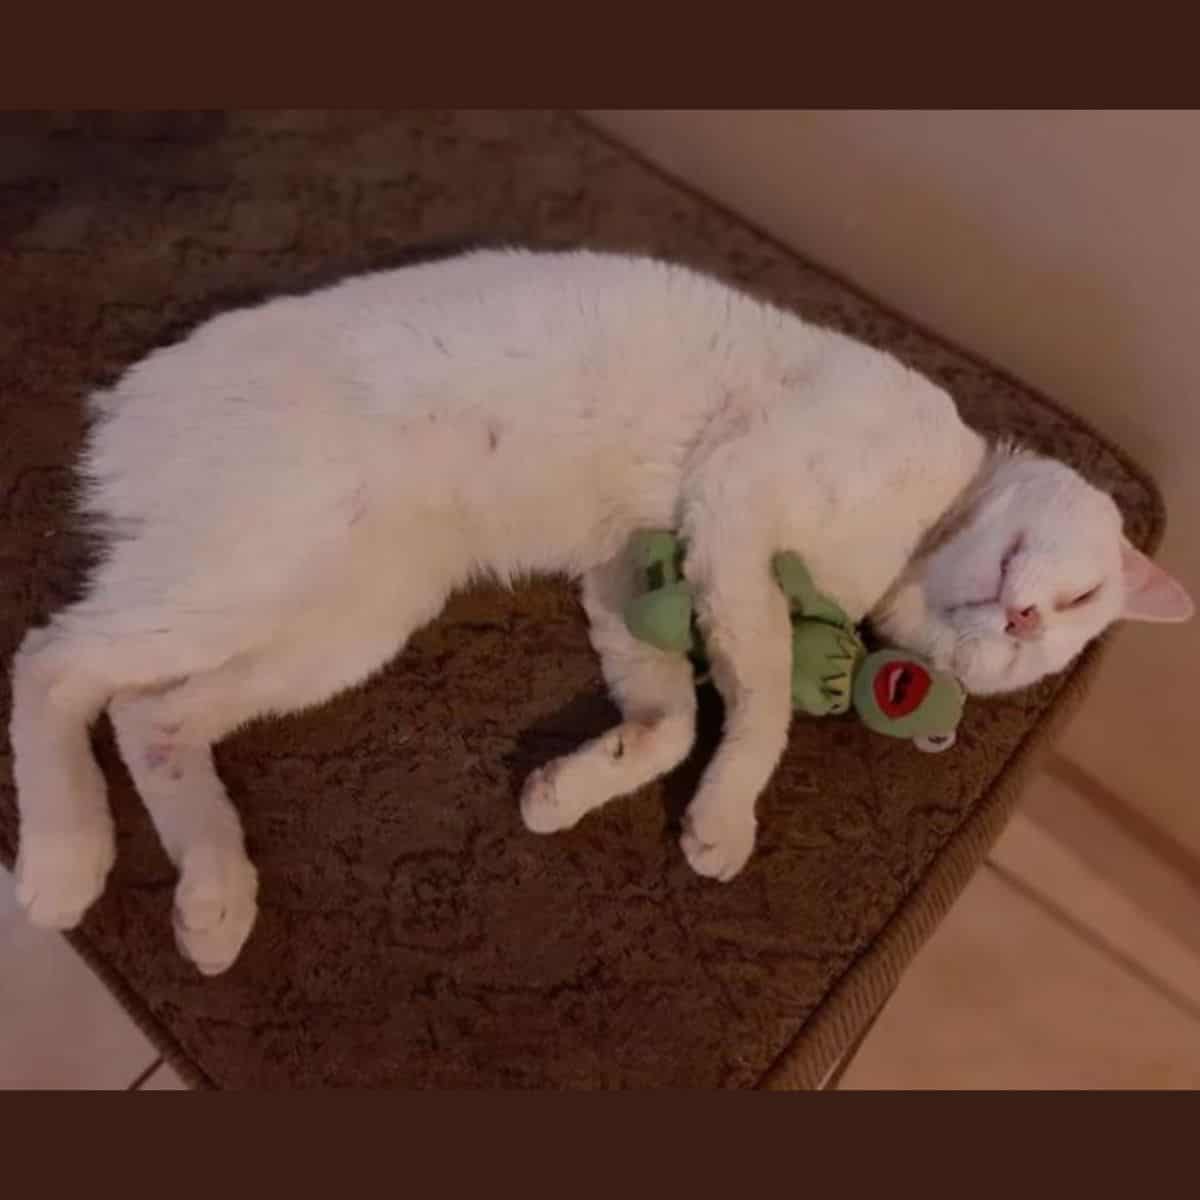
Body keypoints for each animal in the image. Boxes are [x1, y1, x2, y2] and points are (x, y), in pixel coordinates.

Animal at [7, 246, 1190, 974]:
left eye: (1023, 658)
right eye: (1081, 592)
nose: (1020, 627)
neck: (911, 542)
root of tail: (128, 394)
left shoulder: (631, 574)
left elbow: (669, 719)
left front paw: (572, 788)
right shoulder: (738, 503)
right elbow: (764, 704)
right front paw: (726, 821)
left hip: (351, 620)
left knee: (151, 717)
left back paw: (213, 902)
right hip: (261, 557)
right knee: (51, 659)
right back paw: (65, 863)